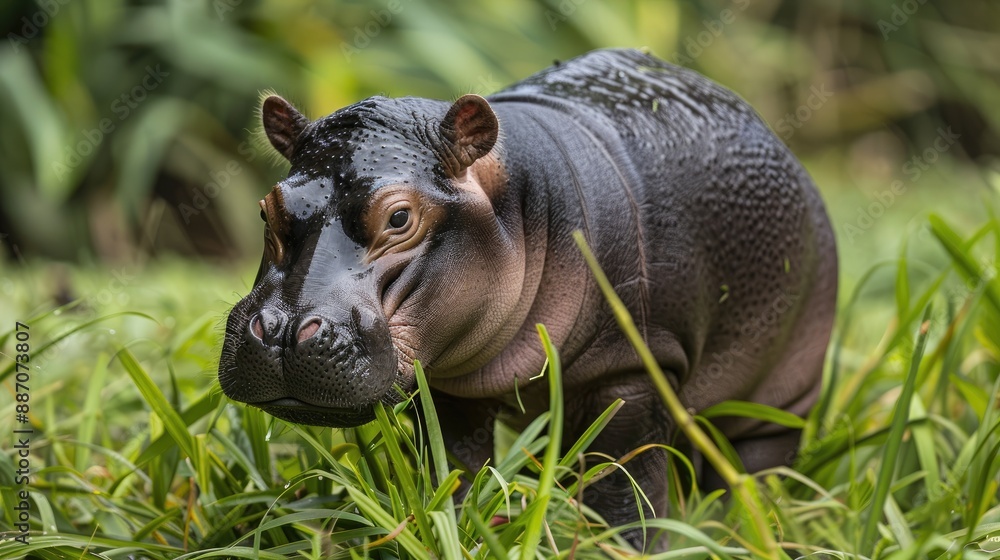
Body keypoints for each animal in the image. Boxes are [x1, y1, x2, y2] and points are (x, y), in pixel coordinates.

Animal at [218, 48, 837, 548]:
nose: (281, 330)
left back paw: (735, 528)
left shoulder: (633, 373)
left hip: (783, 393)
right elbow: (455, 468)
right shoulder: (453, 391)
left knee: (753, 463)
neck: (523, 197)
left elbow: (624, 488)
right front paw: (455, 527)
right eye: (266, 209)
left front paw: (625, 547)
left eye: (399, 218)